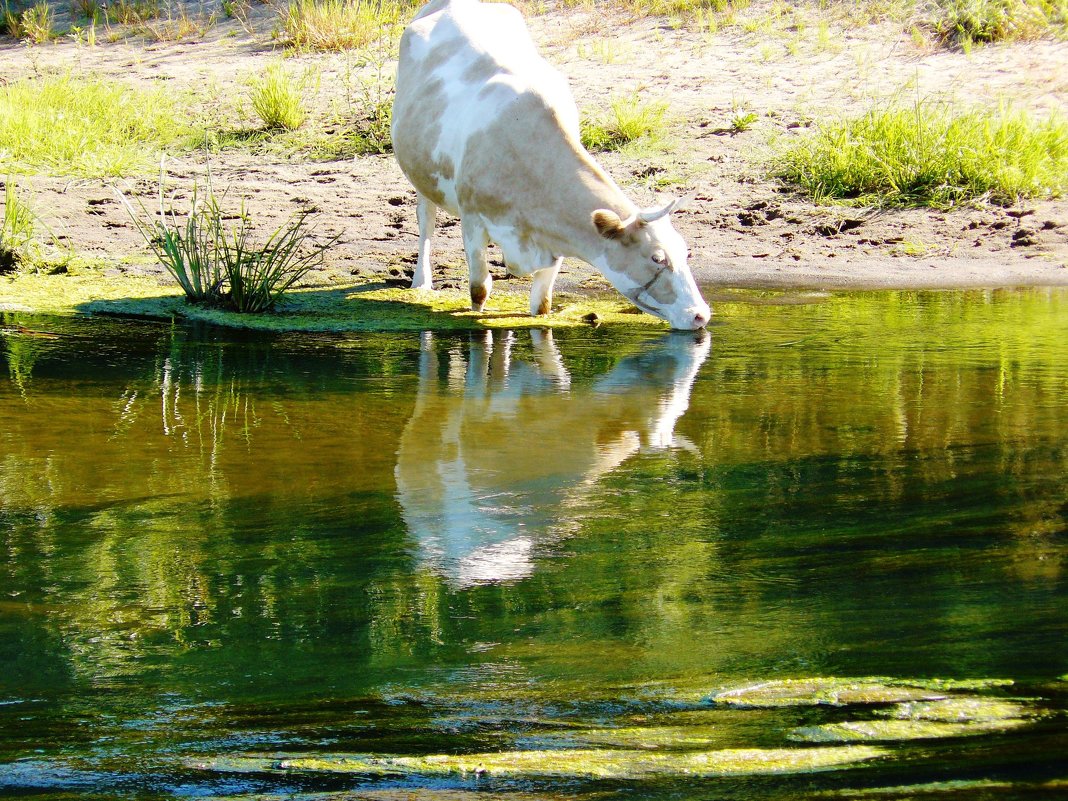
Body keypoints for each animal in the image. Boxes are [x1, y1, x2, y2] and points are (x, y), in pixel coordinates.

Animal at [390, 0, 709, 328]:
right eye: (657, 258)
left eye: (686, 252)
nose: (700, 315)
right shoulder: (472, 219)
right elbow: (479, 290)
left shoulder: (554, 243)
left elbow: (541, 306)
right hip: (420, 173)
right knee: (426, 220)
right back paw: (421, 282)